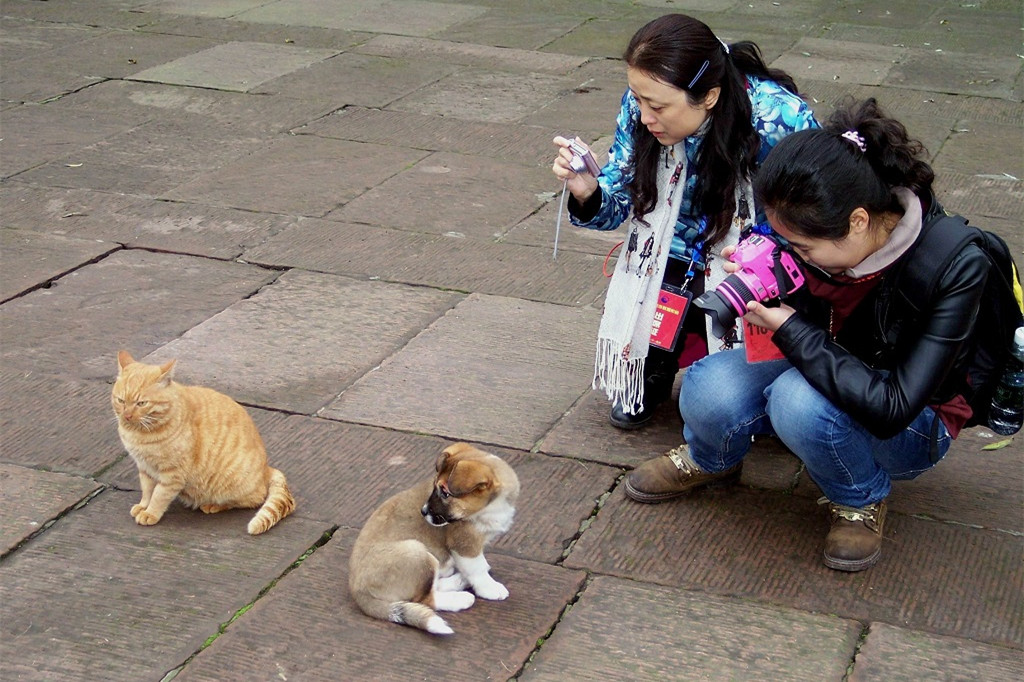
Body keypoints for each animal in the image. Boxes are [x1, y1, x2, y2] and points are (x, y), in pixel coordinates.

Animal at [113, 348, 296, 532]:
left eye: (141, 403)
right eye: (121, 401)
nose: (127, 415)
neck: (140, 434)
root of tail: (266, 468)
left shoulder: (172, 474)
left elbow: (159, 495)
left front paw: (150, 513)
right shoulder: (145, 467)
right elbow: (147, 490)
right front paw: (143, 506)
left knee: (253, 499)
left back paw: (213, 505)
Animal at [348, 440, 520, 630]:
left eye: (445, 493)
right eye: (437, 488)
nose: (423, 512)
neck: (491, 507)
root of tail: (358, 591)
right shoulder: (464, 544)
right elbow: (477, 568)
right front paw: (490, 588)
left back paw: (458, 581)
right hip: (417, 553)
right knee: (425, 599)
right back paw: (460, 599)